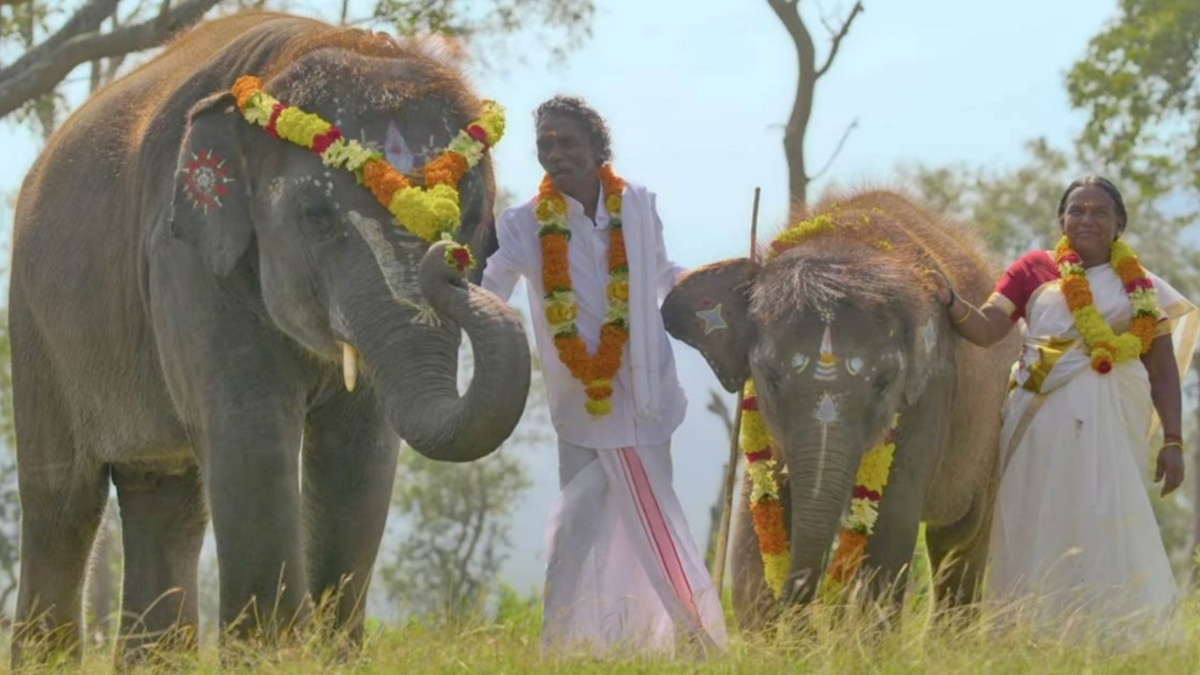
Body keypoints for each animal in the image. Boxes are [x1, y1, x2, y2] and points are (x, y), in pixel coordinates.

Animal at [7, 10, 530, 666]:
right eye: (317, 217)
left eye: (474, 217)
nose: (447, 257)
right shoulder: (185, 257)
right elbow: (250, 427)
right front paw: (273, 659)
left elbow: (361, 445)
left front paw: (333, 661)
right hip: (35, 324)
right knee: (62, 503)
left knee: (165, 495)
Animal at [663, 187, 1019, 628]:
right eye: (771, 377)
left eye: (883, 383)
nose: (803, 609)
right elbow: (755, 516)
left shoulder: (933, 391)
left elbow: (891, 524)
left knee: (958, 541)